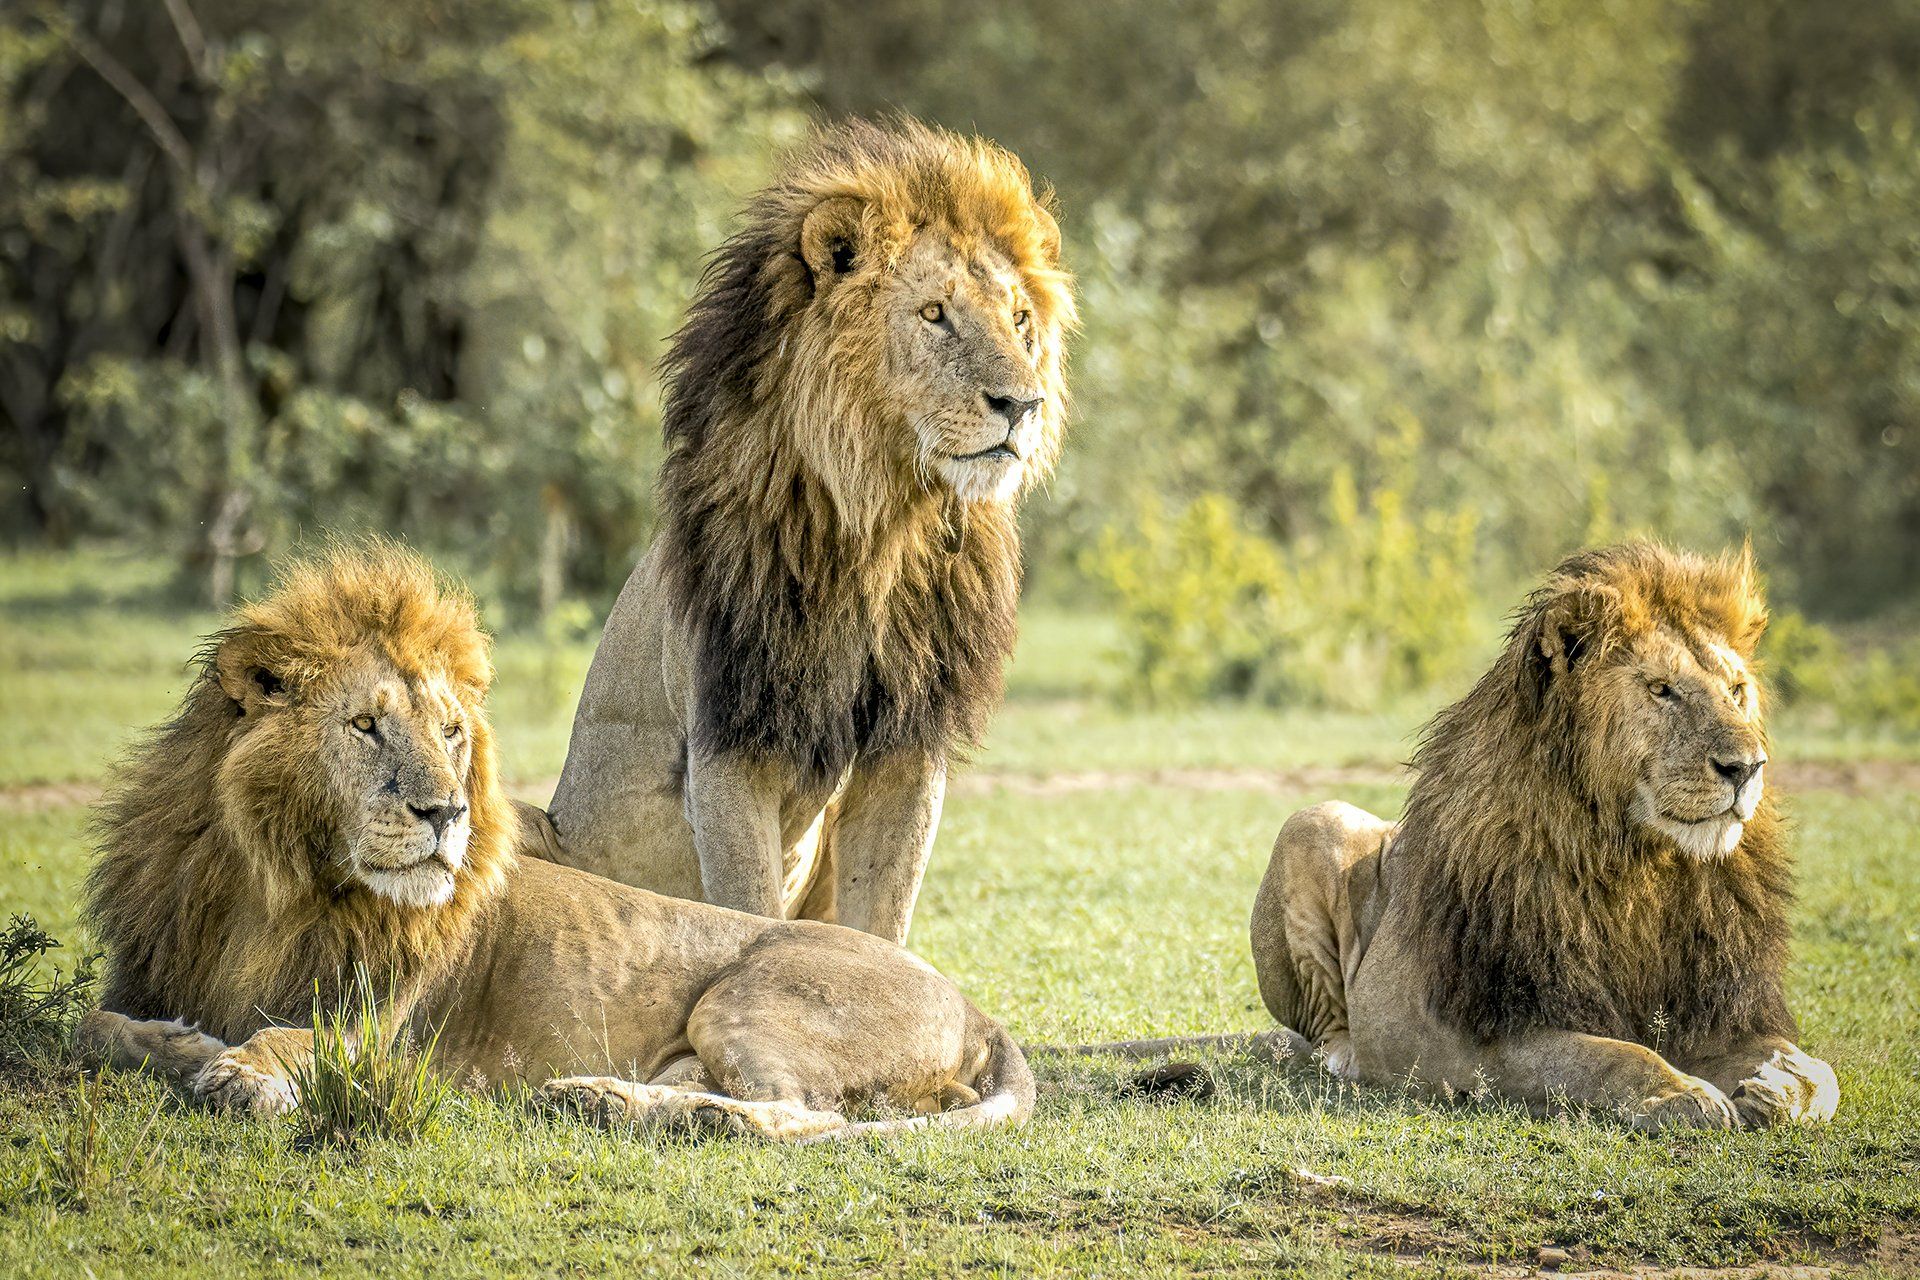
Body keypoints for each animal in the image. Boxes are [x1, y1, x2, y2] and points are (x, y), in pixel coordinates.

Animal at [78, 547, 1033, 1141]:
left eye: (451, 732)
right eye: (365, 726)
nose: (446, 813)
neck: (273, 885)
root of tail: (975, 1008)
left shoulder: (384, 1032)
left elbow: (283, 1040)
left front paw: (236, 1074)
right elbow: (98, 1024)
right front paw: (186, 1044)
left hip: (745, 1002)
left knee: (820, 1115)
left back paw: (683, 1117)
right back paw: (601, 1102)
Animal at [534, 117, 1075, 944]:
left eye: (1019, 319)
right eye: (934, 314)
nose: (1022, 405)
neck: (884, 524)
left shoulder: (909, 743)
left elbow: (882, 921)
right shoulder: (726, 742)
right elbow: (747, 905)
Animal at [1249, 542, 1839, 1129]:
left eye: (1737, 691)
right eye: (1661, 689)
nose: (1747, 767)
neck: (1642, 862)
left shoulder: (1716, 1012)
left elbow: (1812, 1064)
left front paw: (1779, 1089)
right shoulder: (1495, 1038)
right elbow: (1613, 1056)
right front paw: (1685, 1095)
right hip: (1313, 823)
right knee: (1329, 1031)